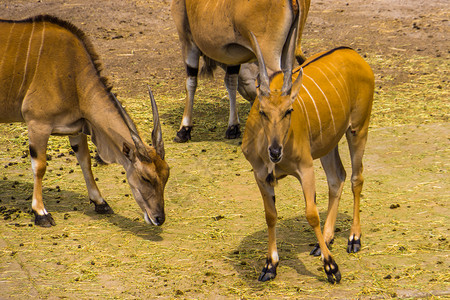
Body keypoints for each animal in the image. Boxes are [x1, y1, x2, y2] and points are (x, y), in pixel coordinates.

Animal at [0, 15, 169, 227]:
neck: (73, 74)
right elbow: (39, 167)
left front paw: (100, 203)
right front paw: (41, 213)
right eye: (145, 178)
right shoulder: (37, 124)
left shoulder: (76, 129)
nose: (159, 218)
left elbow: (85, 161)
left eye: (167, 175)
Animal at [171, 0, 310, 142]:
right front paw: (233, 128)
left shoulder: (187, 41)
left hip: (268, 56)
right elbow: (231, 82)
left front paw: (184, 130)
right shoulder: (233, 58)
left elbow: (191, 83)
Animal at [241, 33, 374, 284]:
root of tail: (354, 54)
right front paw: (270, 265)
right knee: (337, 178)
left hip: (358, 128)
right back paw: (327, 240)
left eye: (288, 110)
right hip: (328, 143)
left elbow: (311, 214)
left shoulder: (305, 168)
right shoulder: (261, 175)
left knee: (356, 178)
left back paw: (354, 238)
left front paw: (331, 267)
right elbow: (270, 215)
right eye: (262, 111)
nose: (275, 151)